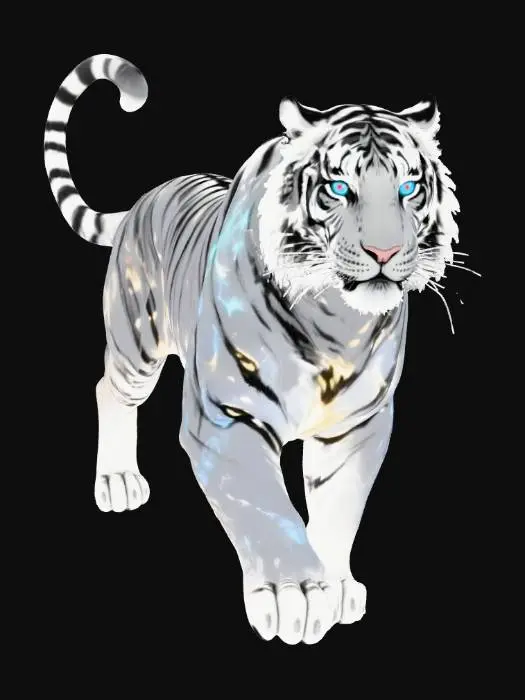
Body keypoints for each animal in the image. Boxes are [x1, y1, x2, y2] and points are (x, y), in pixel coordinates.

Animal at [44, 54, 460, 645]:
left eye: (407, 188)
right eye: (338, 187)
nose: (385, 251)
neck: (336, 324)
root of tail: (146, 197)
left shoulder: (358, 423)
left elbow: (339, 507)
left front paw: (335, 587)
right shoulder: (227, 416)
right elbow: (263, 507)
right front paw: (296, 595)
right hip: (137, 339)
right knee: (109, 387)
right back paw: (118, 481)